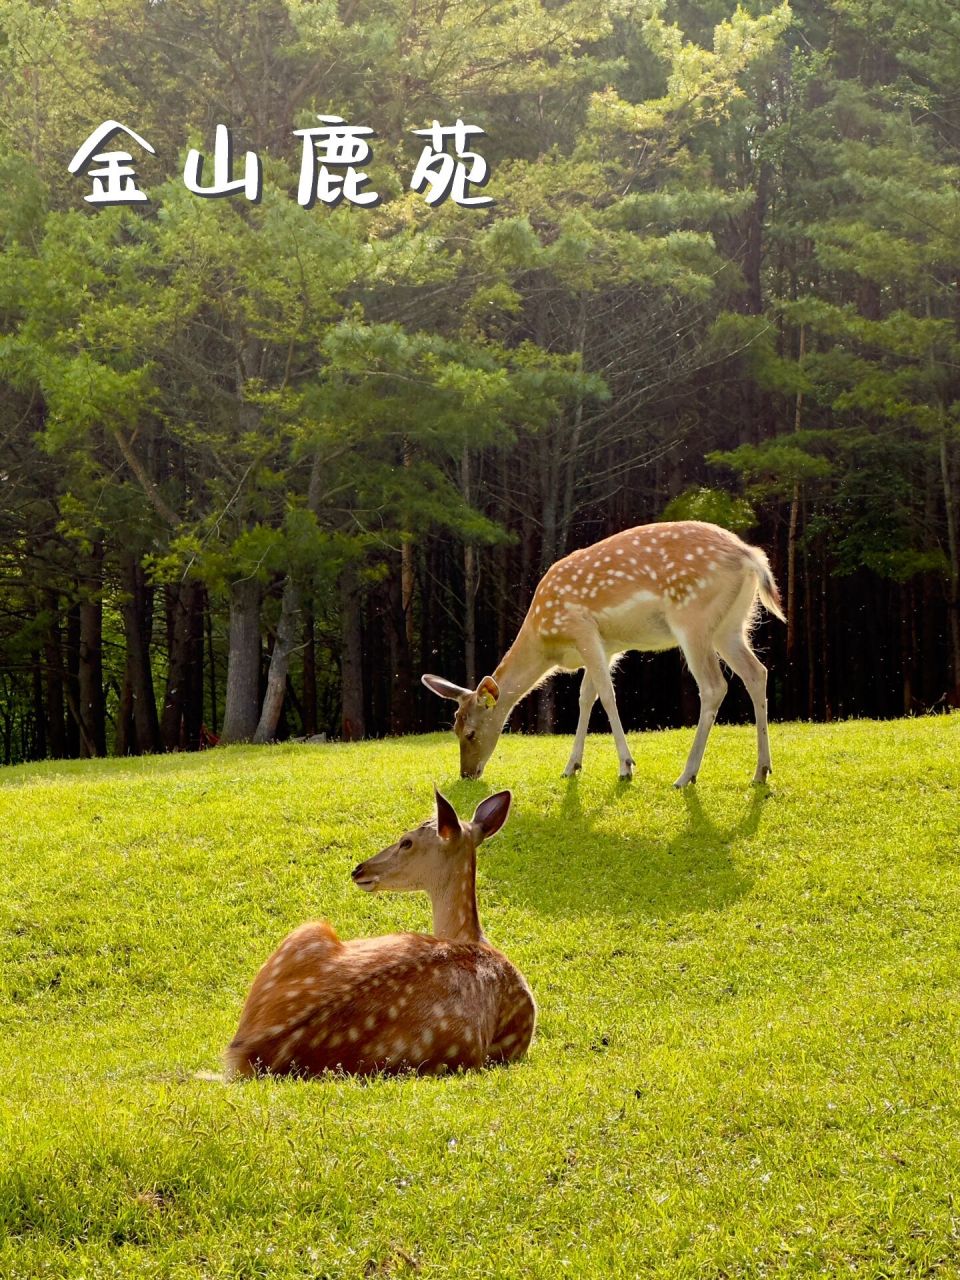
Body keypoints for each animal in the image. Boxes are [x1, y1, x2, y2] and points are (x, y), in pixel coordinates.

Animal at [423, 520, 786, 788]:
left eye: (470, 732)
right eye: (453, 729)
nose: (466, 774)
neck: (547, 643)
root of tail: (751, 557)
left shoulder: (583, 629)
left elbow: (607, 695)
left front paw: (626, 766)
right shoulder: (608, 645)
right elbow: (586, 697)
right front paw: (571, 765)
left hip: (692, 617)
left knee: (714, 686)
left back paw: (686, 775)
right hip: (731, 625)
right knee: (757, 672)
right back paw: (761, 771)